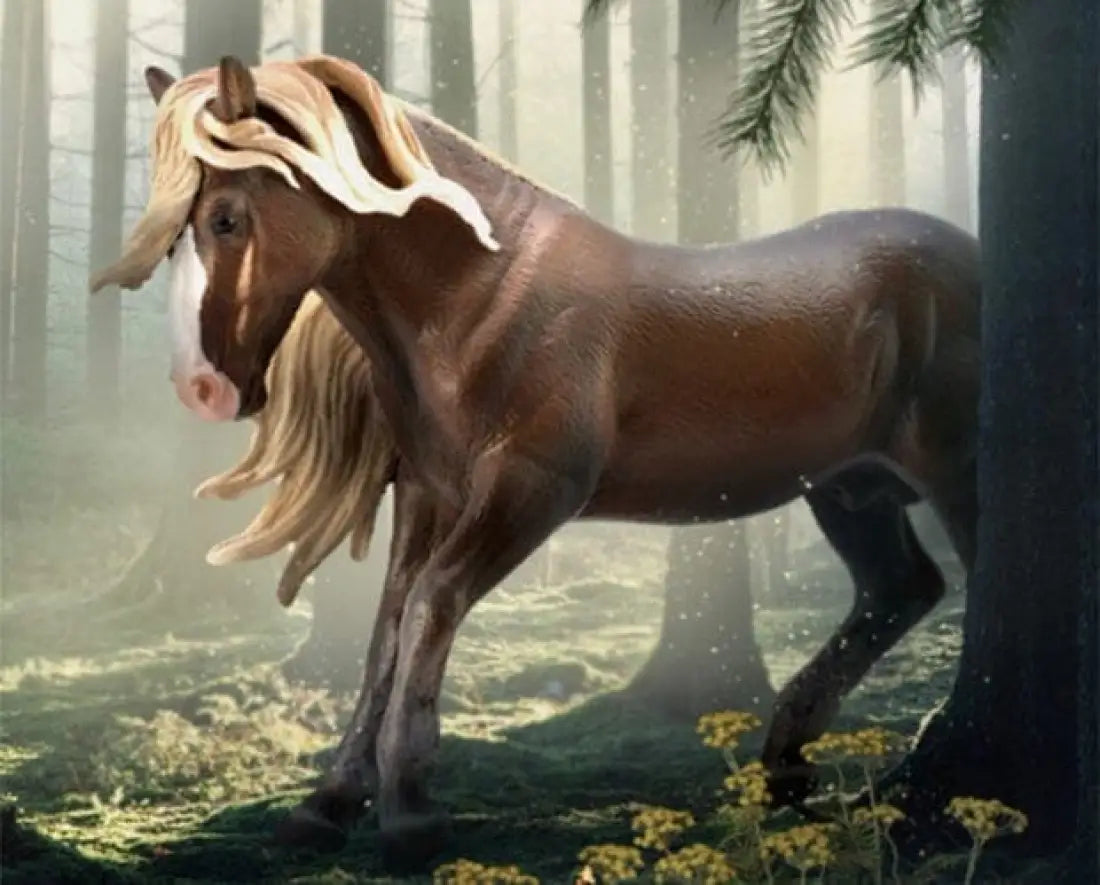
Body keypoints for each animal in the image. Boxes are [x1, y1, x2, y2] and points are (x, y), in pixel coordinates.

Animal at [90, 54, 981, 862]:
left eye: (228, 218)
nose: (202, 388)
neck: (482, 304)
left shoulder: (530, 492)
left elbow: (431, 605)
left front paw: (409, 806)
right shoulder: (429, 493)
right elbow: (389, 625)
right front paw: (331, 801)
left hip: (951, 470)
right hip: (851, 490)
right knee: (901, 589)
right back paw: (786, 764)